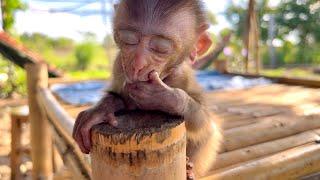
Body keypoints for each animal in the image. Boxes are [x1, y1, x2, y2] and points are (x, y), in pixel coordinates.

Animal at [73, 0, 221, 177]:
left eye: (161, 48)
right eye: (129, 40)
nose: (137, 64)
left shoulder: (182, 77)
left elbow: (203, 121)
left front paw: (162, 96)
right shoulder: (119, 65)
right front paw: (101, 109)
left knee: (209, 133)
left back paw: (189, 170)